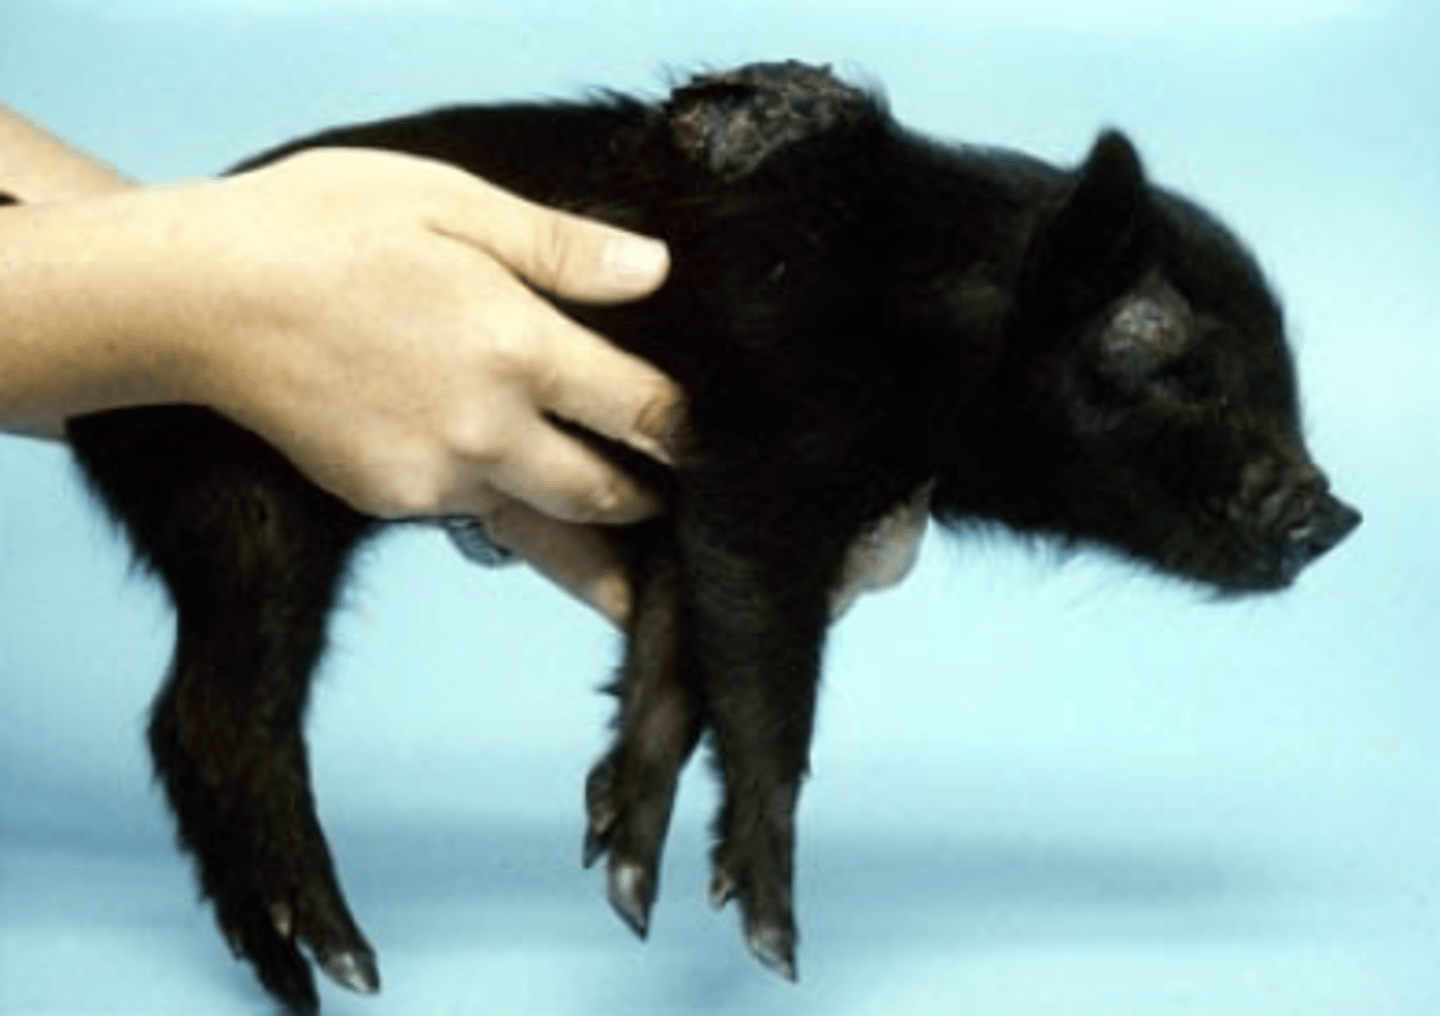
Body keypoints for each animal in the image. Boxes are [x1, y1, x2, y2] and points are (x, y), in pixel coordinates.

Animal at [49, 62, 1358, 1012]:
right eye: (1178, 367)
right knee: (216, 716)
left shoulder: (688, 508)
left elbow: (677, 664)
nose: (1337, 511)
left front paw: (620, 878)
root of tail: (91, 418)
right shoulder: (759, 464)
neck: (916, 314)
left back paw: (296, 974)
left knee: (177, 717)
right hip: (252, 505)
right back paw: (350, 965)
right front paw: (775, 944)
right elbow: (766, 678)